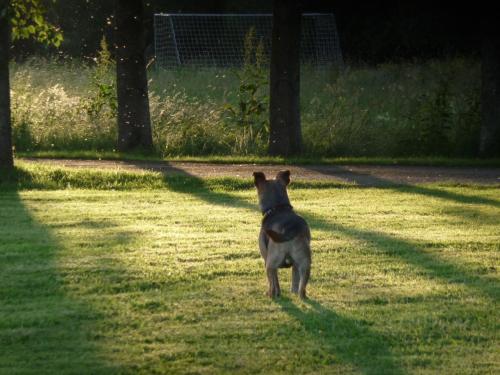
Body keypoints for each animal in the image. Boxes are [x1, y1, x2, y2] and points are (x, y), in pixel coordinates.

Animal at [256, 171, 310, 300]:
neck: (278, 208)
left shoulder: (266, 259)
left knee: (272, 285)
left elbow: (274, 282)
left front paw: (276, 293)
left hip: (270, 263)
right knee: (300, 287)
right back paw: (301, 296)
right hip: (305, 263)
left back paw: (270, 295)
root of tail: (290, 229)